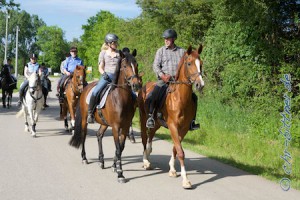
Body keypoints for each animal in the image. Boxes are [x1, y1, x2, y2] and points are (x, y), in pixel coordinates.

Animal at [69, 49, 142, 183]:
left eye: (136, 64)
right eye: (125, 66)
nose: (136, 85)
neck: (120, 98)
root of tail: (85, 88)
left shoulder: (124, 127)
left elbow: (121, 147)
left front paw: (114, 166)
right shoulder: (115, 127)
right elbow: (118, 147)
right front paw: (120, 173)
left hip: (104, 123)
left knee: (99, 135)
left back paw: (101, 161)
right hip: (84, 120)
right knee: (83, 135)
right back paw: (84, 158)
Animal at [138, 44, 204, 188]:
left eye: (201, 64)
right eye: (189, 63)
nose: (200, 85)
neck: (180, 98)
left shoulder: (183, 129)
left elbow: (176, 148)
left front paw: (173, 169)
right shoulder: (173, 126)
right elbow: (180, 151)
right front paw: (185, 180)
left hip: (157, 123)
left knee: (151, 136)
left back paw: (149, 153)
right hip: (143, 118)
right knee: (145, 138)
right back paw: (146, 161)